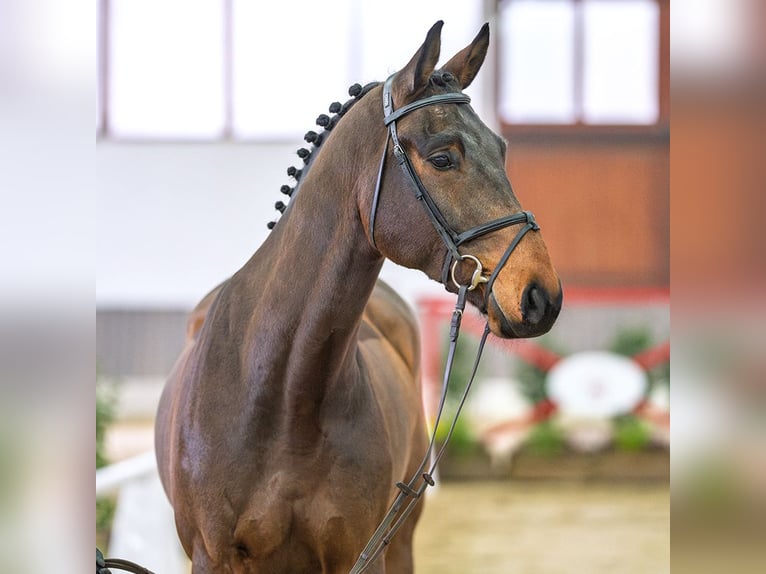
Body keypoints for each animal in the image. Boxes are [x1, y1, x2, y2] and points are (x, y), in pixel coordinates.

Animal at [155, 21, 562, 573]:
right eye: (442, 158)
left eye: (500, 149)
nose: (541, 295)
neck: (281, 396)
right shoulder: (212, 557)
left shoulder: (355, 552)